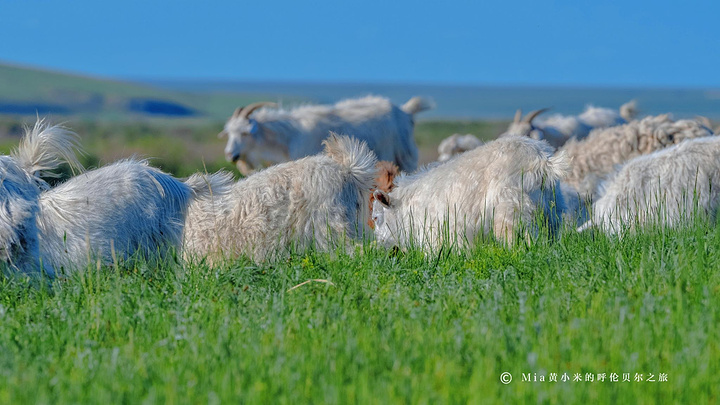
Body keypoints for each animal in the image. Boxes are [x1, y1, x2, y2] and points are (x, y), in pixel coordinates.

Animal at [221, 96, 434, 177]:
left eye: (244, 133)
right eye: (229, 133)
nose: (230, 155)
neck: (287, 138)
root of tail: (405, 111)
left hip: (404, 158)